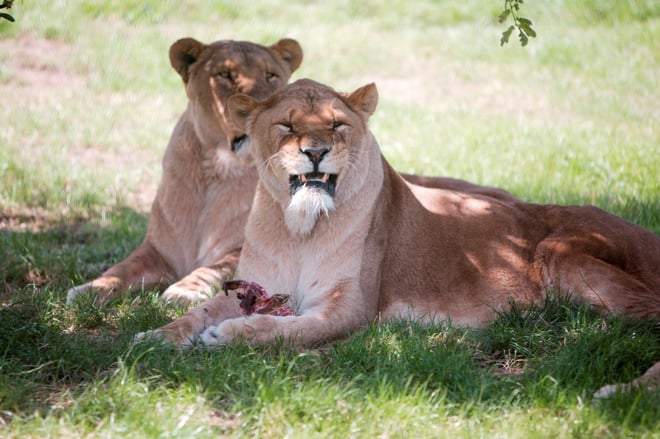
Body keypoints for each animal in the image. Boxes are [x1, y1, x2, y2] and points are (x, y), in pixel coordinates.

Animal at [66, 37, 303, 306]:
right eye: (224, 75)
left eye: (271, 75)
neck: (218, 170)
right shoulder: (157, 250)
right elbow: (122, 267)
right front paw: (91, 288)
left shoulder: (247, 252)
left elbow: (214, 269)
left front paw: (183, 291)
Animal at [137, 78, 660, 396]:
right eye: (286, 124)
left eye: (337, 124)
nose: (316, 151)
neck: (298, 228)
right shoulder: (251, 286)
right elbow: (197, 312)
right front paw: (154, 335)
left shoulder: (350, 309)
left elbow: (283, 331)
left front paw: (227, 335)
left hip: (561, 253)